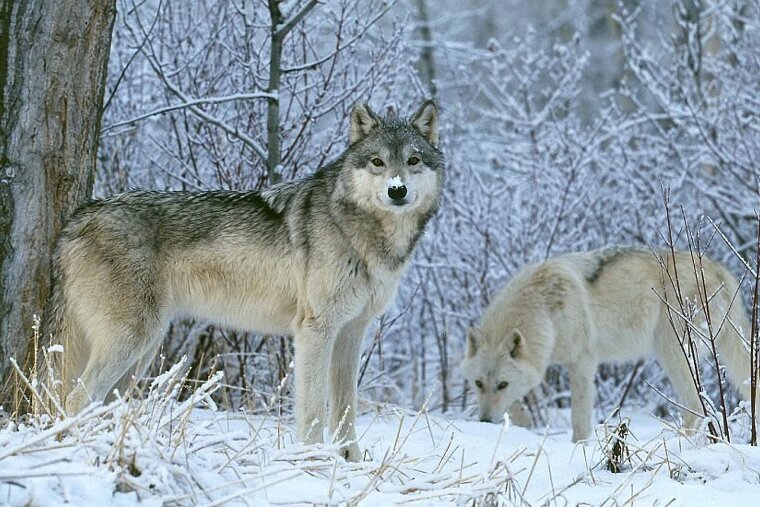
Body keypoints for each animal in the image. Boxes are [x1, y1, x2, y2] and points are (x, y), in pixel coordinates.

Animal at [43, 101, 443, 461]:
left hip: (142, 351)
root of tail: (76, 220)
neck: (363, 233)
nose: (397, 190)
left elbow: (345, 408)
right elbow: (314, 408)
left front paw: (350, 461)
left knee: (101, 403)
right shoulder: (315, 330)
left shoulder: (351, 332)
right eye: (377, 162)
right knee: (75, 398)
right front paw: (312, 461)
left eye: (413, 161)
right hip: (132, 341)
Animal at [461, 247, 752, 442]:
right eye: (478, 384)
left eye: (502, 384)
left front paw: (579, 447)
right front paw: (524, 421)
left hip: (671, 353)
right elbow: (519, 406)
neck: (544, 309)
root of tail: (720, 269)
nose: (484, 421)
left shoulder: (582, 363)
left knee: (695, 405)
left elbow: (579, 419)